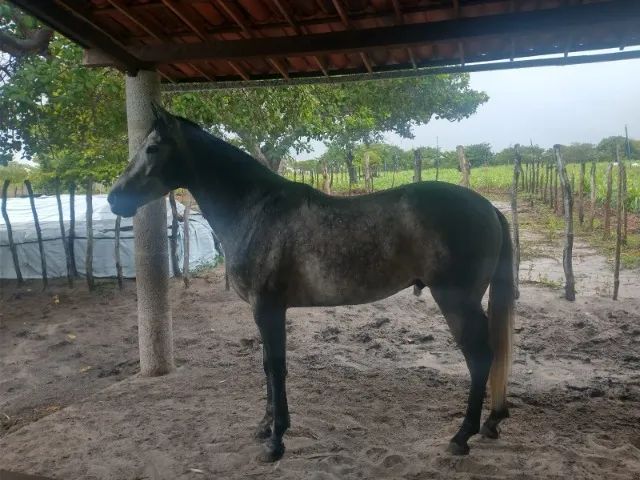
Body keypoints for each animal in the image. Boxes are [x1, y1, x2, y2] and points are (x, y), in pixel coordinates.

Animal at [108, 103, 515, 462]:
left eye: (152, 148)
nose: (115, 199)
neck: (256, 211)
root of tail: (489, 208)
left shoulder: (268, 308)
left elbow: (277, 368)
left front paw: (276, 442)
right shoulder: (263, 311)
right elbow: (266, 366)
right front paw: (265, 426)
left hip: (456, 301)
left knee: (479, 357)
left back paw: (462, 437)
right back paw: (491, 423)